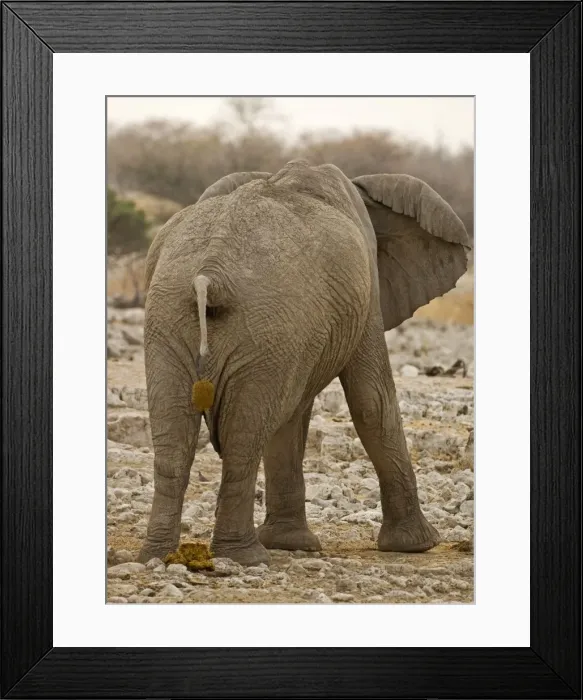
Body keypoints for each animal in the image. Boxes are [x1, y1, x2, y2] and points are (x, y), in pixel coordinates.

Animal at [137, 159, 470, 566]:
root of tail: (210, 273)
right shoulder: (365, 291)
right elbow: (371, 401)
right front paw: (419, 545)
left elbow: (294, 415)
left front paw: (290, 544)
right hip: (258, 326)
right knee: (244, 438)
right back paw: (246, 558)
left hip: (174, 319)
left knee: (176, 442)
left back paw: (158, 556)